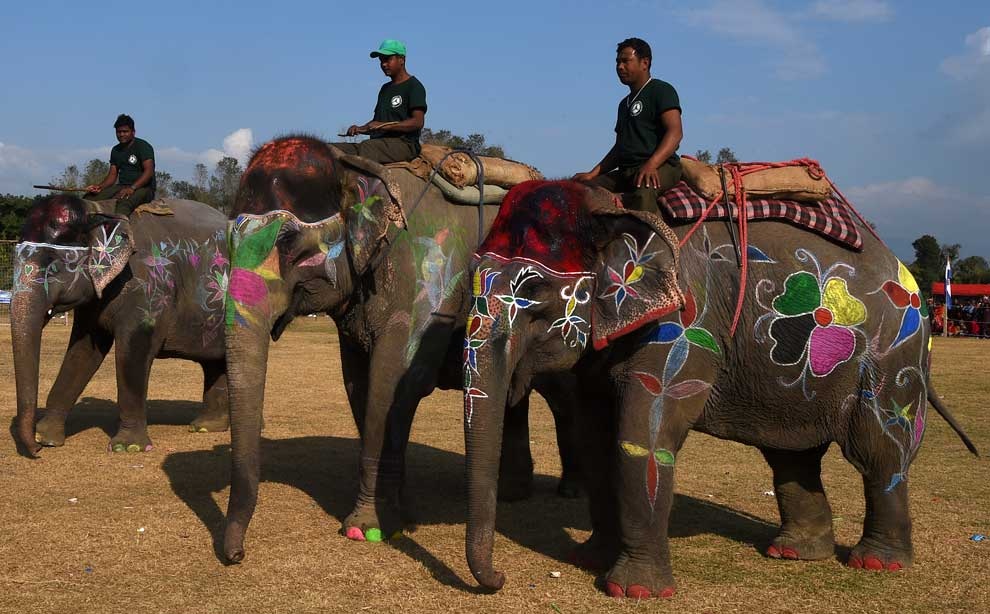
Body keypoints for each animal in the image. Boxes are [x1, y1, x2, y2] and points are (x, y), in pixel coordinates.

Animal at [12, 196, 231, 458]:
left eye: (52, 264)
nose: (35, 451)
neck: (97, 210)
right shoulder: (95, 300)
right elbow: (83, 353)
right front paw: (46, 438)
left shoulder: (148, 287)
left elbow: (132, 351)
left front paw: (127, 447)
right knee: (214, 362)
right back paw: (205, 427)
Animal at [223, 135, 580, 564]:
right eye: (226, 244)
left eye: (290, 245)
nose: (236, 556)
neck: (353, 166)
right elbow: (360, 384)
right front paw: (397, 513)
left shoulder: (427, 275)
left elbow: (393, 380)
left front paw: (366, 529)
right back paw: (513, 493)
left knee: (562, 394)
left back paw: (571, 491)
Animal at [464, 179, 976, 600]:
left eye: (535, 298)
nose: (500, 579)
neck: (614, 207)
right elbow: (597, 436)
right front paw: (589, 558)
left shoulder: (684, 324)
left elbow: (644, 433)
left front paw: (635, 592)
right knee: (792, 454)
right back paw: (794, 553)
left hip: (893, 358)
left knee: (878, 453)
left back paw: (877, 563)